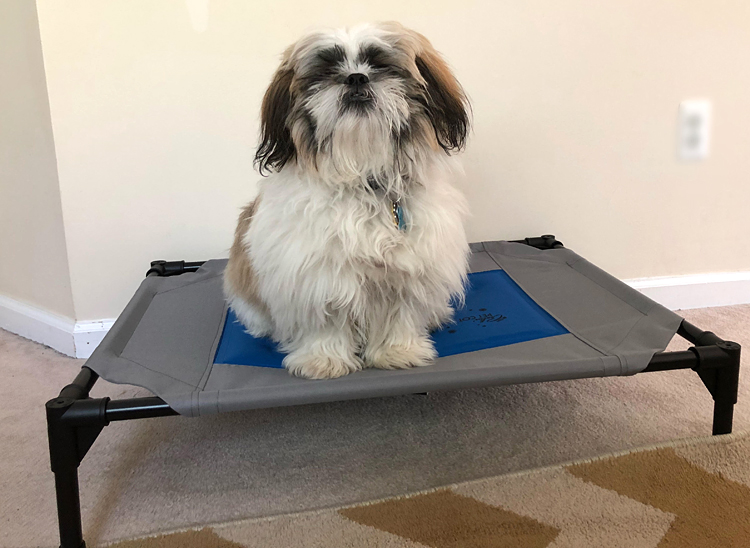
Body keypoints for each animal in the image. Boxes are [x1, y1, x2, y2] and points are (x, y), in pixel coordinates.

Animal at [225, 22, 470, 382]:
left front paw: (398, 351)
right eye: (326, 70)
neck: (362, 178)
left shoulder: (409, 271)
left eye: (380, 64)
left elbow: (400, 312)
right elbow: (325, 317)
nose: (356, 78)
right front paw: (324, 360)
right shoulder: (315, 273)